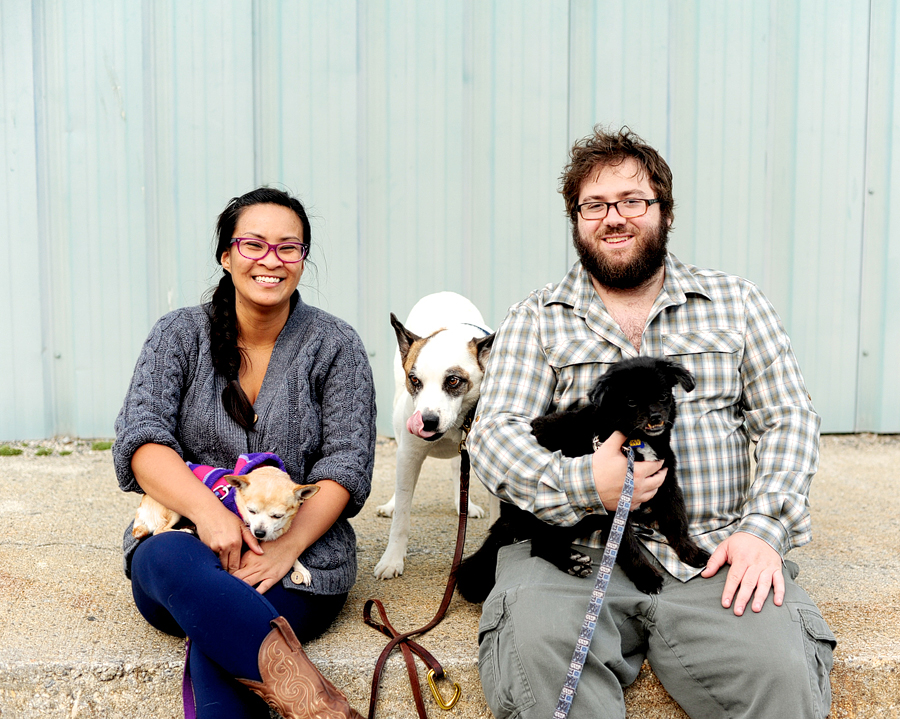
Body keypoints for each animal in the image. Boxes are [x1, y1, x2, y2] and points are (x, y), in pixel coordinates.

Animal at [374, 292, 496, 580]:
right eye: (415, 380)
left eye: (453, 380)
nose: (427, 421)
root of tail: (444, 294)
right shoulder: (409, 455)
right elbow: (402, 517)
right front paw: (392, 559)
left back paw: (464, 504)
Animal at [458, 358, 712, 604]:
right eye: (630, 401)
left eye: (663, 396)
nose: (656, 417)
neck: (637, 441)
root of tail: (506, 515)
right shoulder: (612, 501)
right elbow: (626, 544)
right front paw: (645, 575)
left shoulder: (666, 482)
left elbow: (677, 520)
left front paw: (691, 552)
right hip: (559, 514)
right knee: (539, 545)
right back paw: (573, 563)